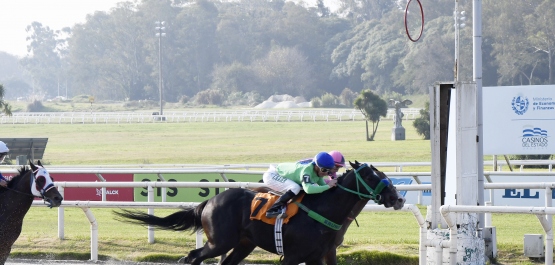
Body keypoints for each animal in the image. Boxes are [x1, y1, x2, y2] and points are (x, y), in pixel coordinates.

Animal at [117, 160, 406, 264]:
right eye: (371, 175)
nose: (398, 198)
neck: (324, 212)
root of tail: (210, 201)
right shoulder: (293, 256)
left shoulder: (324, 254)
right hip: (221, 241)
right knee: (192, 256)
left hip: (244, 243)